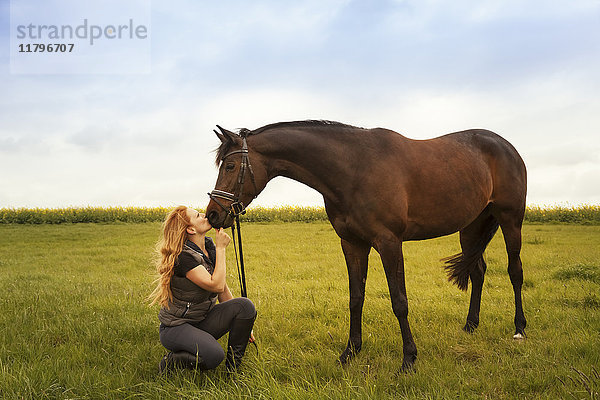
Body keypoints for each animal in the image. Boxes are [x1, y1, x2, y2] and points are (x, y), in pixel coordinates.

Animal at [205, 119, 524, 372]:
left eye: (230, 165)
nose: (213, 214)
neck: (353, 169)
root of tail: (506, 146)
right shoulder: (352, 244)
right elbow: (355, 298)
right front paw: (350, 352)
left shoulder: (389, 243)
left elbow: (399, 302)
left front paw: (409, 359)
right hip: (471, 228)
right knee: (478, 271)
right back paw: (471, 326)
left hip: (511, 221)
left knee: (515, 271)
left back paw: (519, 329)